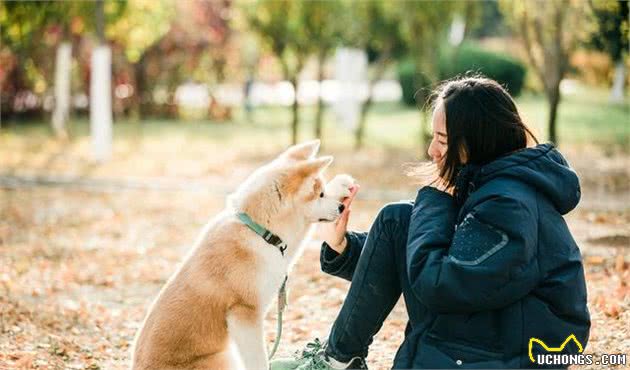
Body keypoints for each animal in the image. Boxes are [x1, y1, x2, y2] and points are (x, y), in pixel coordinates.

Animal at [132, 141, 356, 370]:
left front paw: (342, 184)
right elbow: (259, 360)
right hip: (224, 359)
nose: (340, 207)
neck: (258, 229)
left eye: (324, 191)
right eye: (319, 195)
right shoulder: (245, 313)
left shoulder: (283, 247)